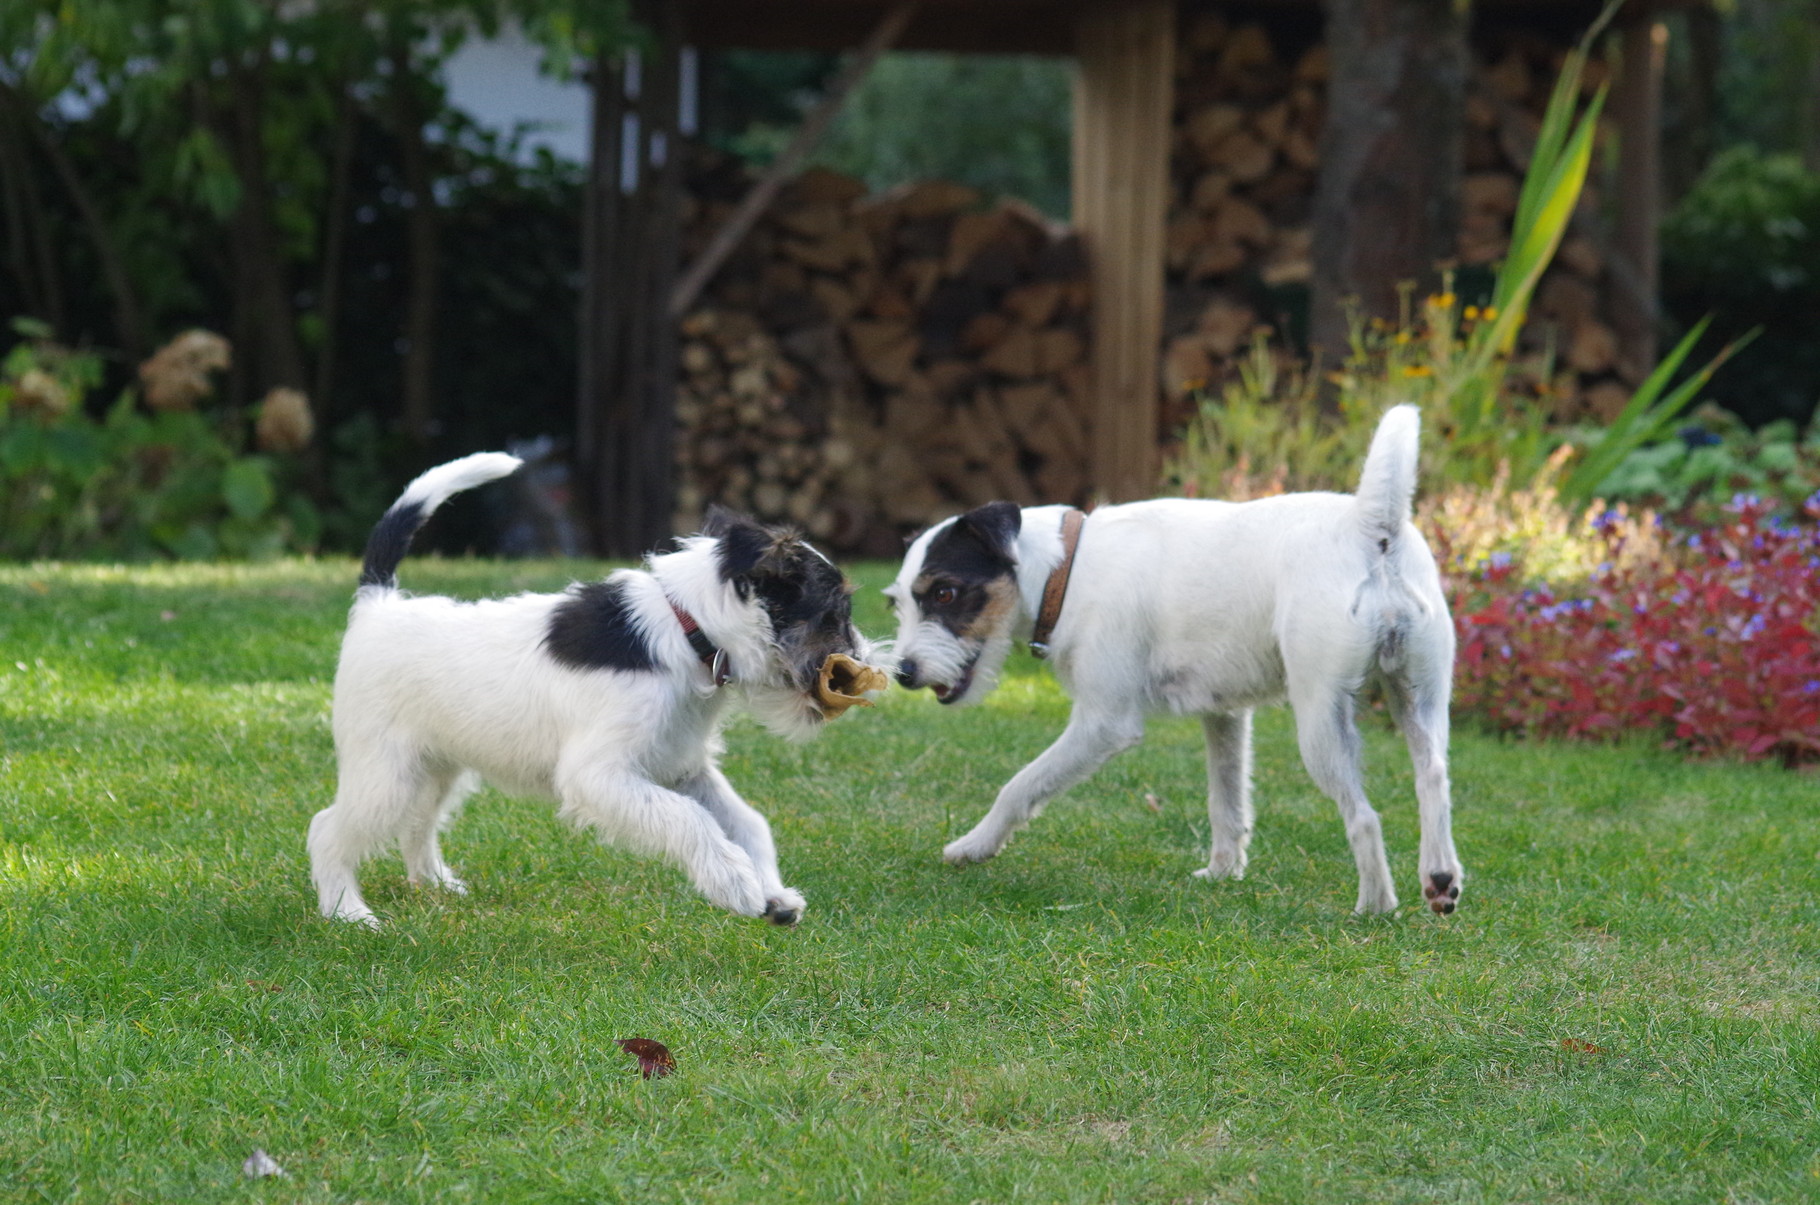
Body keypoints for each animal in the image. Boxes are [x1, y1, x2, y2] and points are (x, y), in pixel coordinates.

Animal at [305, 453, 873, 924]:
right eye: (836, 613)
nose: (868, 664)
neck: (685, 628)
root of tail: (378, 604)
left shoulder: (682, 766)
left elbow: (747, 821)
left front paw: (774, 893)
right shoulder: (598, 774)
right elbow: (690, 819)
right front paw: (734, 882)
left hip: (436, 766)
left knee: (418, 824)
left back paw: (437, 885)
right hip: (386, 774)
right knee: (327, 828)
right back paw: (348, 912)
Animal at [888, 405, 1470, 917]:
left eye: (944, 593)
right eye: (897, 603)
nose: (904, 673)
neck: (1065, 569)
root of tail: (1371, 526)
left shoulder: (1104, 723)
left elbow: (1021, 785)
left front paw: (974, 845)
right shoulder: (1225, 714)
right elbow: (1227, 801)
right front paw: (1223, 871)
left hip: (1322, 719)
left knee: (1365, 816)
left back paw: (1376, 905)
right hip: (1420, 696)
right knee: (1434, 777)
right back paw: (1440, 878)